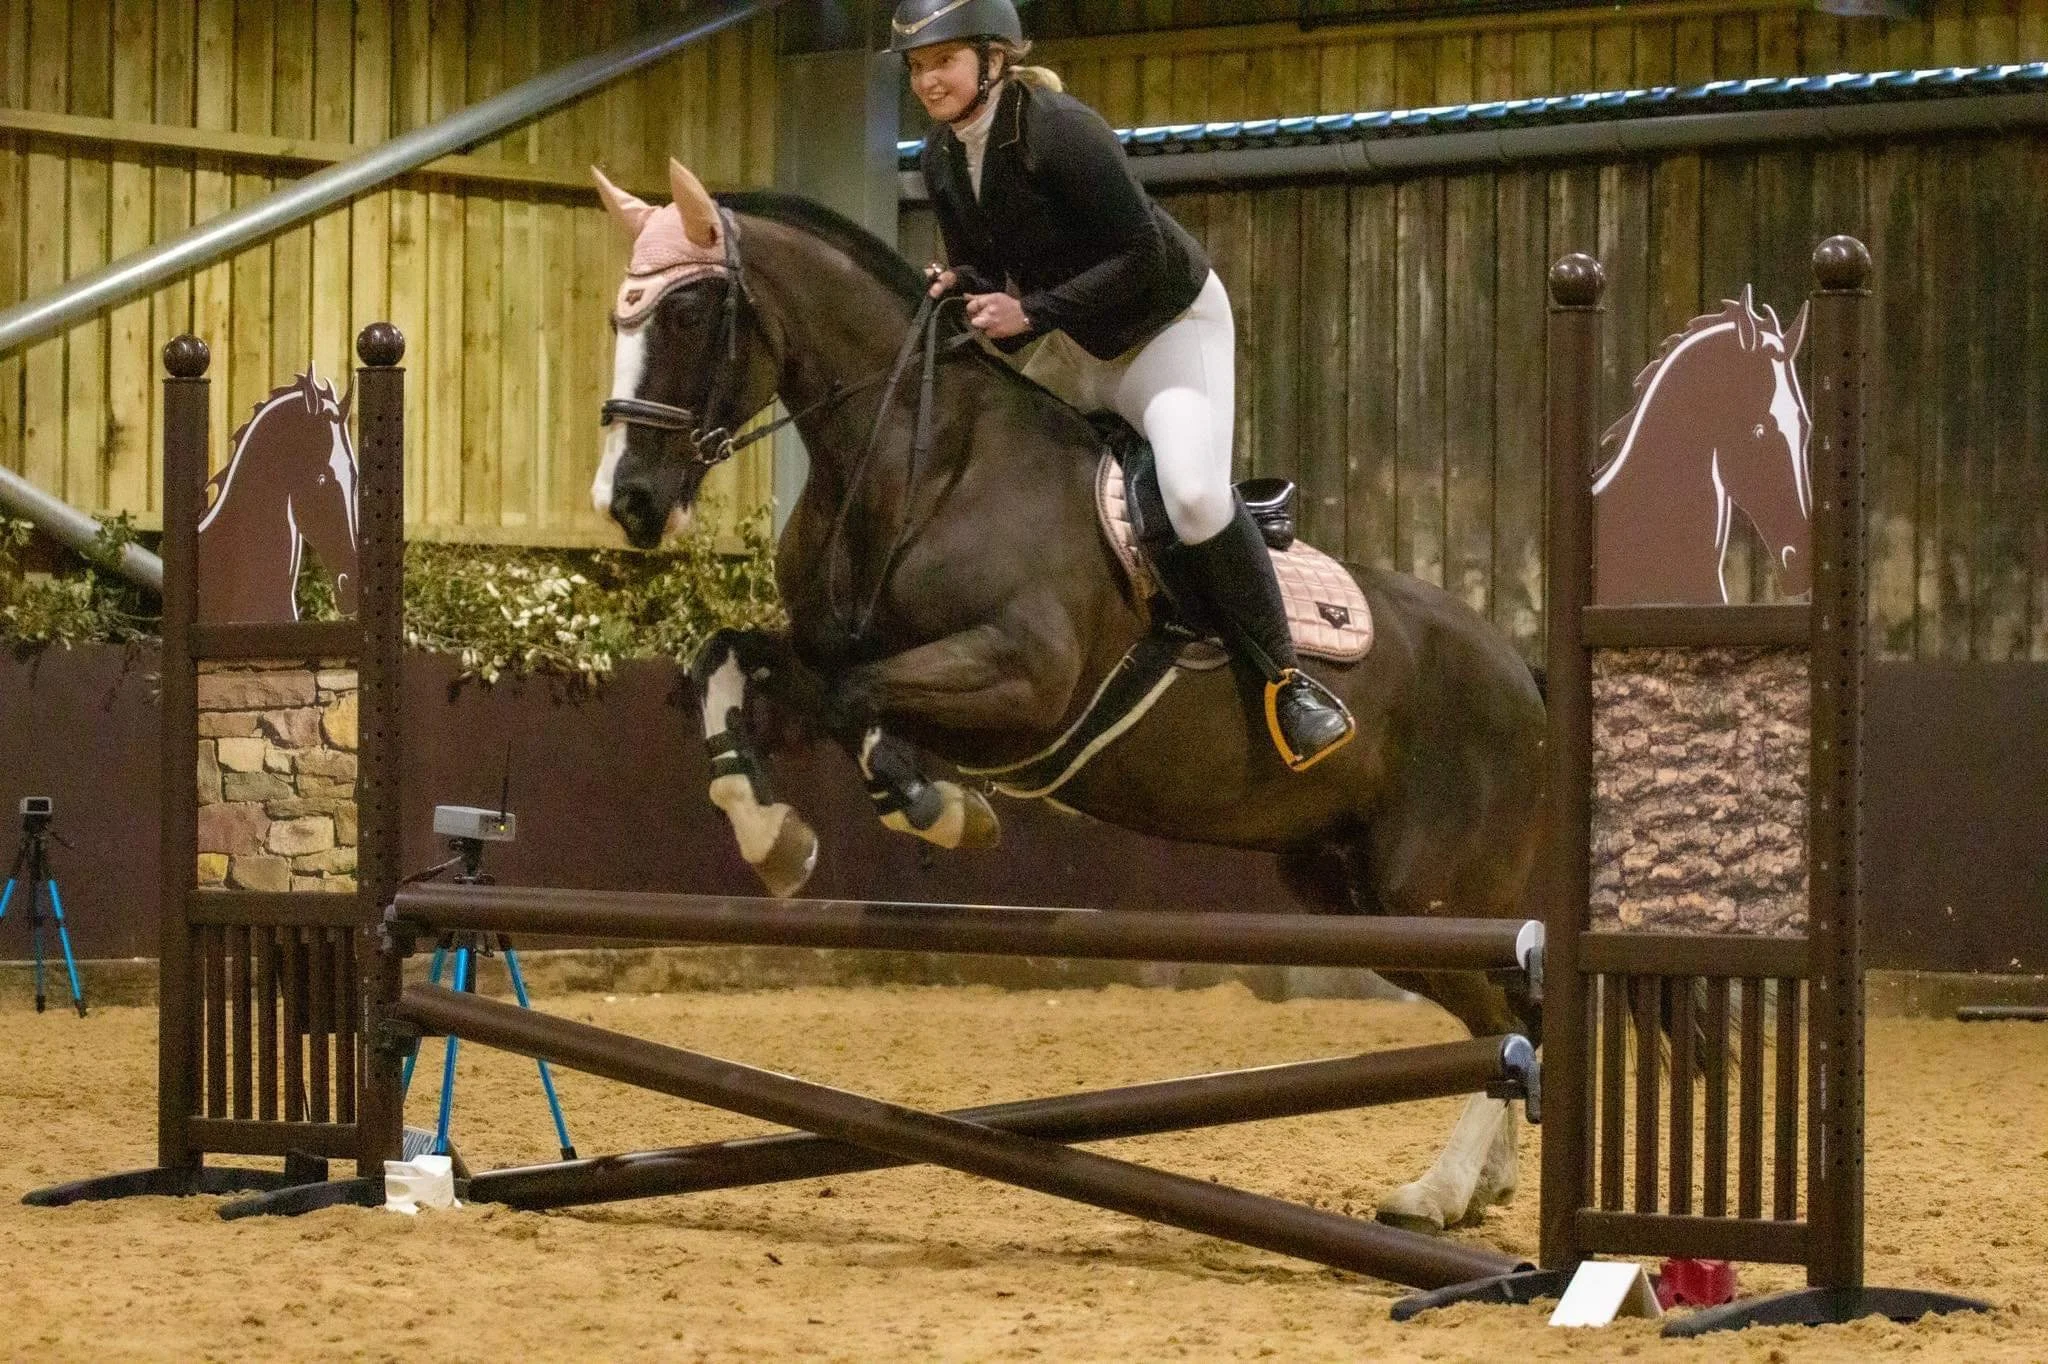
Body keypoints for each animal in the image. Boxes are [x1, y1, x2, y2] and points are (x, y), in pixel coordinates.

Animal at [589, 160, 1549, 1234]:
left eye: (688, 312)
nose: (627, 502)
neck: (920, 458)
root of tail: (1520, 671)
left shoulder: (1025, 674)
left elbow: (855, 701)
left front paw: (936, 806)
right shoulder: (822, 650)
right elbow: (732, 662)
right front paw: (774, 837)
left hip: (1430, 890)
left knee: (1509, 1017)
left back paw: (1435, 1193)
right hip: (1353, 896)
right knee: (1501, 1019)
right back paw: (1482, 1184)